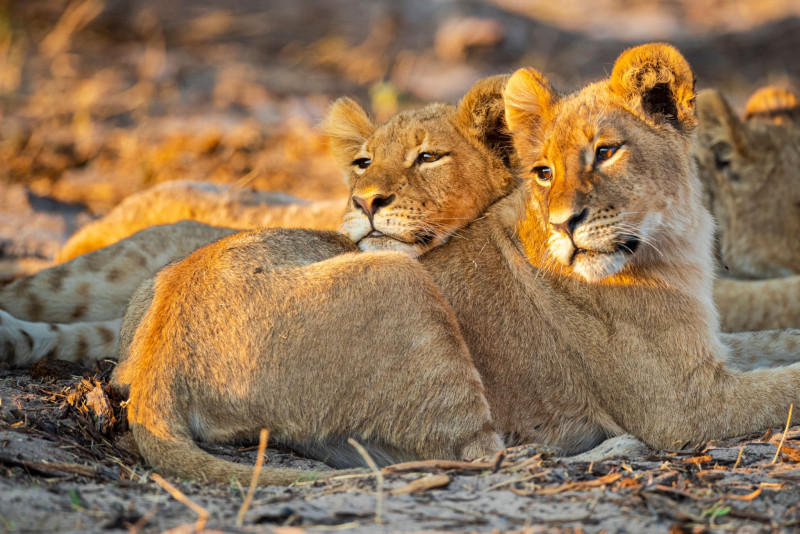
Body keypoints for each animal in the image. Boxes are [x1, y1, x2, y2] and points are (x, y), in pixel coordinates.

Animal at [115, 43, 800, 486]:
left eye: (606, 152)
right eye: (543, 171)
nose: (564, 225)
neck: (673, 243)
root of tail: (158, 364)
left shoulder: (712, 352)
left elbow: (778, 340)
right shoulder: (684, 405)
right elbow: (786, 383)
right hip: (403, 280)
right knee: (479, 455)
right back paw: (602, 450)